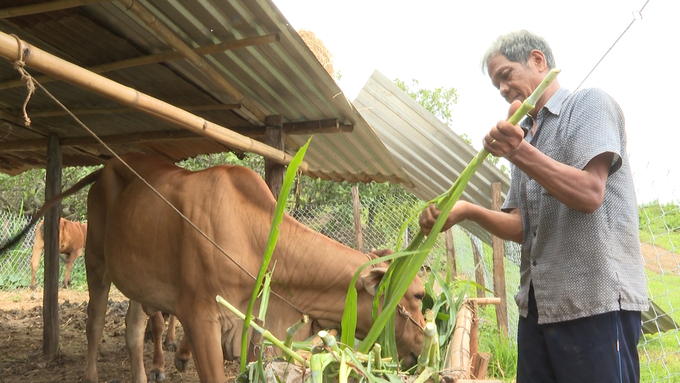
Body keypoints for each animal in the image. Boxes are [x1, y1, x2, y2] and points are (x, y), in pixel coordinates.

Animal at [82, 154, 424, 383]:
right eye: (418, 296)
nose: (423, 347)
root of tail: (108, 166)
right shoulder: (201, 317)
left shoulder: (257, 331)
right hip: (95, 260)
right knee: (95, 322)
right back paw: (91, 374)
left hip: (138, 280)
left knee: (134, 329)